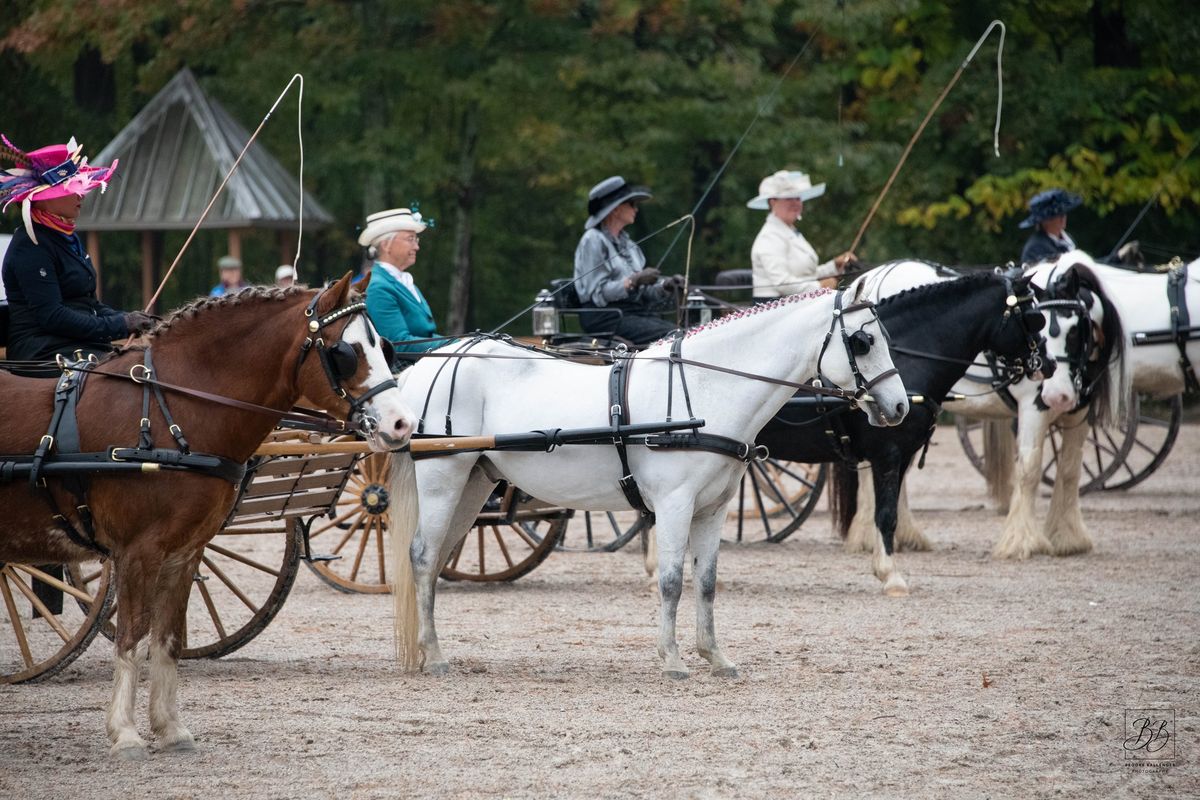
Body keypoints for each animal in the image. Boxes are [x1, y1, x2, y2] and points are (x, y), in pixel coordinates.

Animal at [0, 275, 420, 758]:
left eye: (383, 347)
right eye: (345, 351)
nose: (403, 424)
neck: (167, 412)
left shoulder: (184, 552)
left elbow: (168, 638)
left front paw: (169, 728)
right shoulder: (136, 552)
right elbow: (132, 635)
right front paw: (125, 733)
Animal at [388, 284, 902, 681]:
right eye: (862, 341)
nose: (899, 407)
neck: (707, 390)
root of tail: (427, 363)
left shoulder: (713, 509)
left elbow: (707, 582)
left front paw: (715, 657)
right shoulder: (675, 504)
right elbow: (672, 580)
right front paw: (672, 659)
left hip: (474, 484)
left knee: (437, 558)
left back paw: (428, 649)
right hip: (443, 479)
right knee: (422, 555)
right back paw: (434, 656)